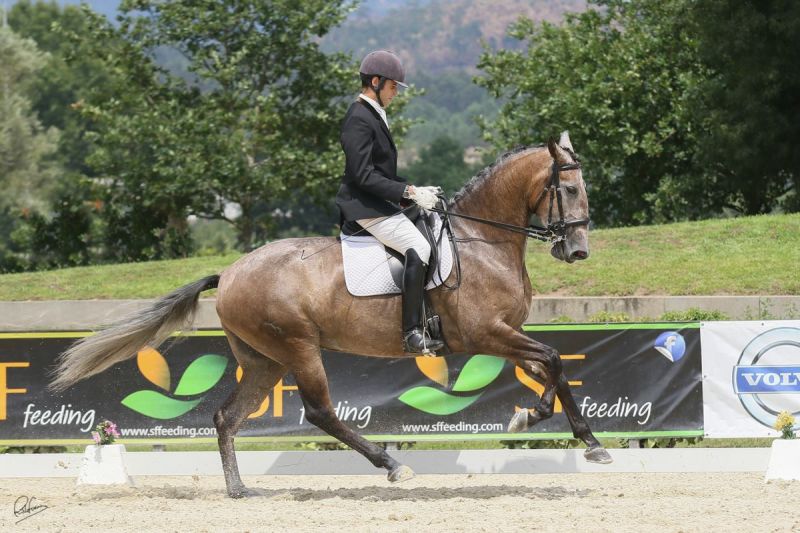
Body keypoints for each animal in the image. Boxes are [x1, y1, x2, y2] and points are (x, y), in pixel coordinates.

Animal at [51, 131, 612, 498]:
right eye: (568, 190)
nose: (579, 251)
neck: (484, 242)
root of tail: (229, 273)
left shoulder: (503, 333)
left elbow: (548, 368)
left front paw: (533, 417)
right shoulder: (486, 334)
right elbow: (553, 359)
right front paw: (584, 440)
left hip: (264, 360)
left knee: (227, 416)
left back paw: (239, 489)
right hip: (298, 347)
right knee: (320, 412)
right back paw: (391, 466)